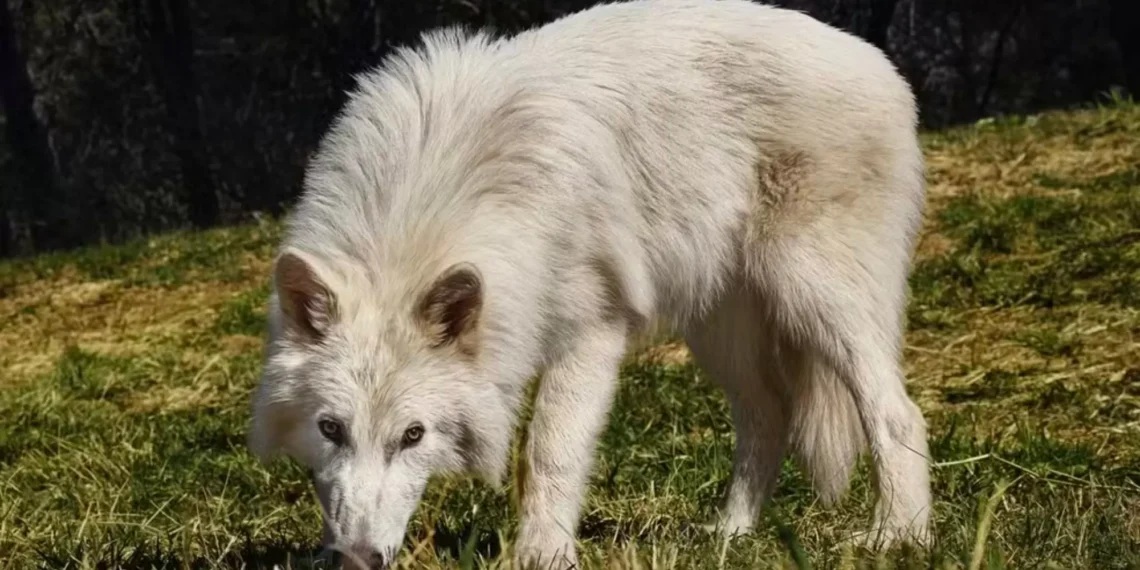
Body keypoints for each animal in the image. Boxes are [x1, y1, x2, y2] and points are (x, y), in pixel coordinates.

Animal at [248, 0, 932, 568]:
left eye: (413, 435)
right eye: (330, 429)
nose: (356, 561)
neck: (436, 197)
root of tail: (880, 64)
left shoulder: (593, 332)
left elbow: (549, 450)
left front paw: (542, 555)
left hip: (817, 299)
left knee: (897, 413)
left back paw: (899, 536)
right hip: (720, 331)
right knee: (770, 417)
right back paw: (730, 536)